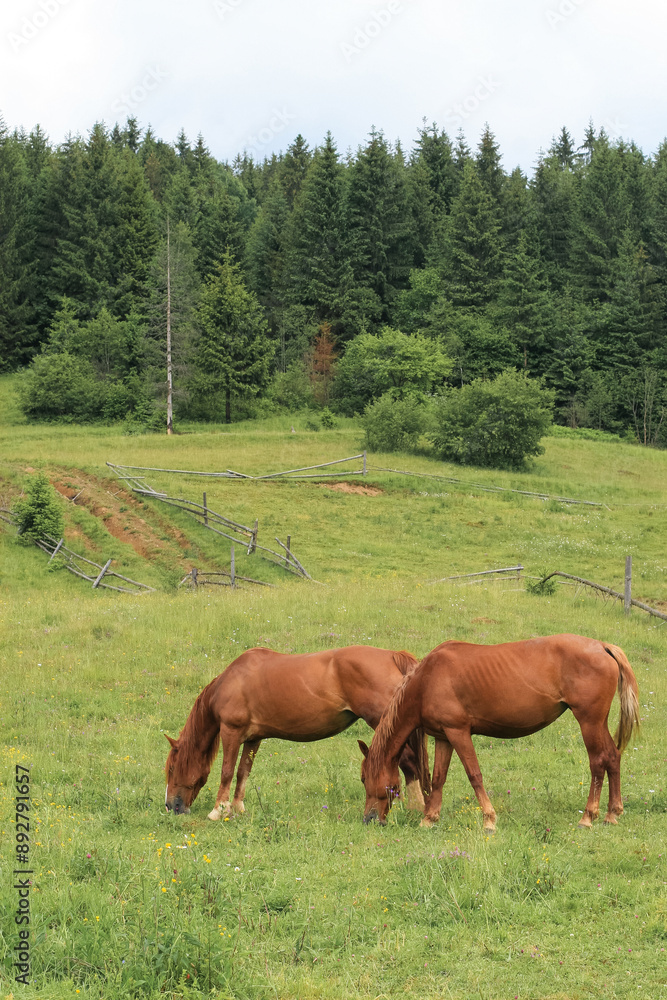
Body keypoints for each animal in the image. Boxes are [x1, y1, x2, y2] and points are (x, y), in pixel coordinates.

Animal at [164, 645, 428, 819]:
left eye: (171, 769)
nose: (170, 806)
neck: (232, 681)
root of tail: (392, 656)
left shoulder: (232, 732)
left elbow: (227, 772)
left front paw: (218, 810)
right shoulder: (253, 739)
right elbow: (242, 772)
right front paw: (238, 808)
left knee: (408, 762)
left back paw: (413, 808)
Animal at [359, 634, 639, 832]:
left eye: (364, 779)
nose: (368, 819)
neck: (427, 680)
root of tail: (603, 646)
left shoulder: (458, 732)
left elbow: (474, 775)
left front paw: (489, 820)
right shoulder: (443, 737)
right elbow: (439, 778)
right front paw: (429, 819)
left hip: (589, 722)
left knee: (598, 762)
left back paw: (588, 817)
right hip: (598, 723)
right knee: (613, 757)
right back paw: (612, 814)